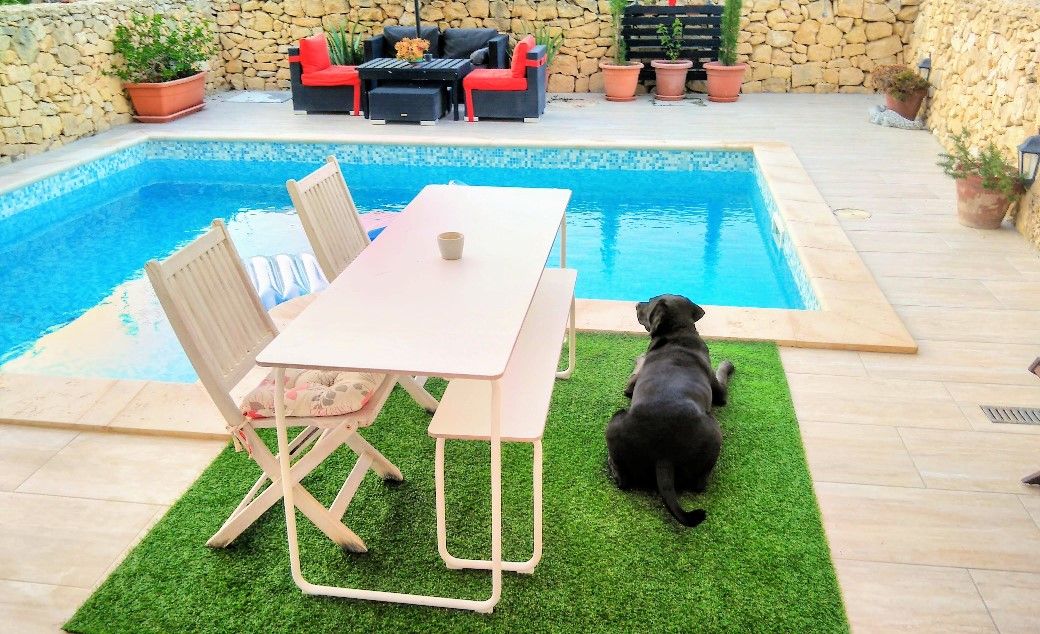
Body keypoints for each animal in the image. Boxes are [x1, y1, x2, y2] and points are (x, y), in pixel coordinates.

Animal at [605, 294, 734, 527]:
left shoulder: (630, 386)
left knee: (622, 479)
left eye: (649, 301)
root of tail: (664, 457)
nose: (636, 304)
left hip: (617, 418)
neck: (678, 332)